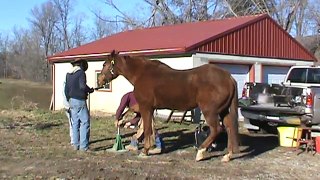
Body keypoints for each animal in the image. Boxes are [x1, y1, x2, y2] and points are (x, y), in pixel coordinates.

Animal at [98, 50, 240, 162]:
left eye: (104, 64)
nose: (99, 80)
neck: (141, 74)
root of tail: (229, 78)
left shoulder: (145, 107)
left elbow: (147, 129)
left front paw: (145, 151)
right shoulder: (149, 107)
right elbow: (143, 120)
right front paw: (121, 121)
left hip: (209, 111)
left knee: (217, 129)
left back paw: (200, 153)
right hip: (223, 111)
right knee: (229, 128)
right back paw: (227, 155)